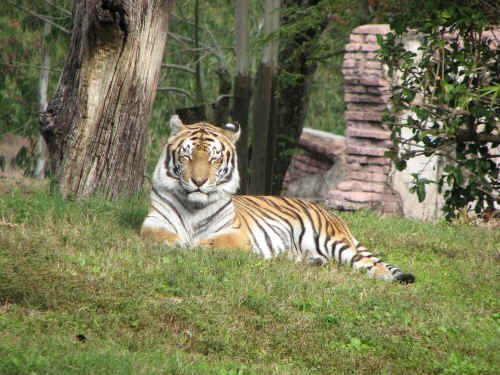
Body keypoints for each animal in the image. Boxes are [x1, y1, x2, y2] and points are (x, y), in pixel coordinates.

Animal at [141, 116, 414, 284]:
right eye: (186, 157)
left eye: (214, 159)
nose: (198, 181)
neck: (193, 204)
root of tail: (331, 213)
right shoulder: (153, 222)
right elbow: (161, 236)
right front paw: (178, 243)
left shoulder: (235, 234)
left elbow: (211, 243)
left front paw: (193, 246)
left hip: (330, 240)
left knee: (366, 262)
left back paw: (382, 277)